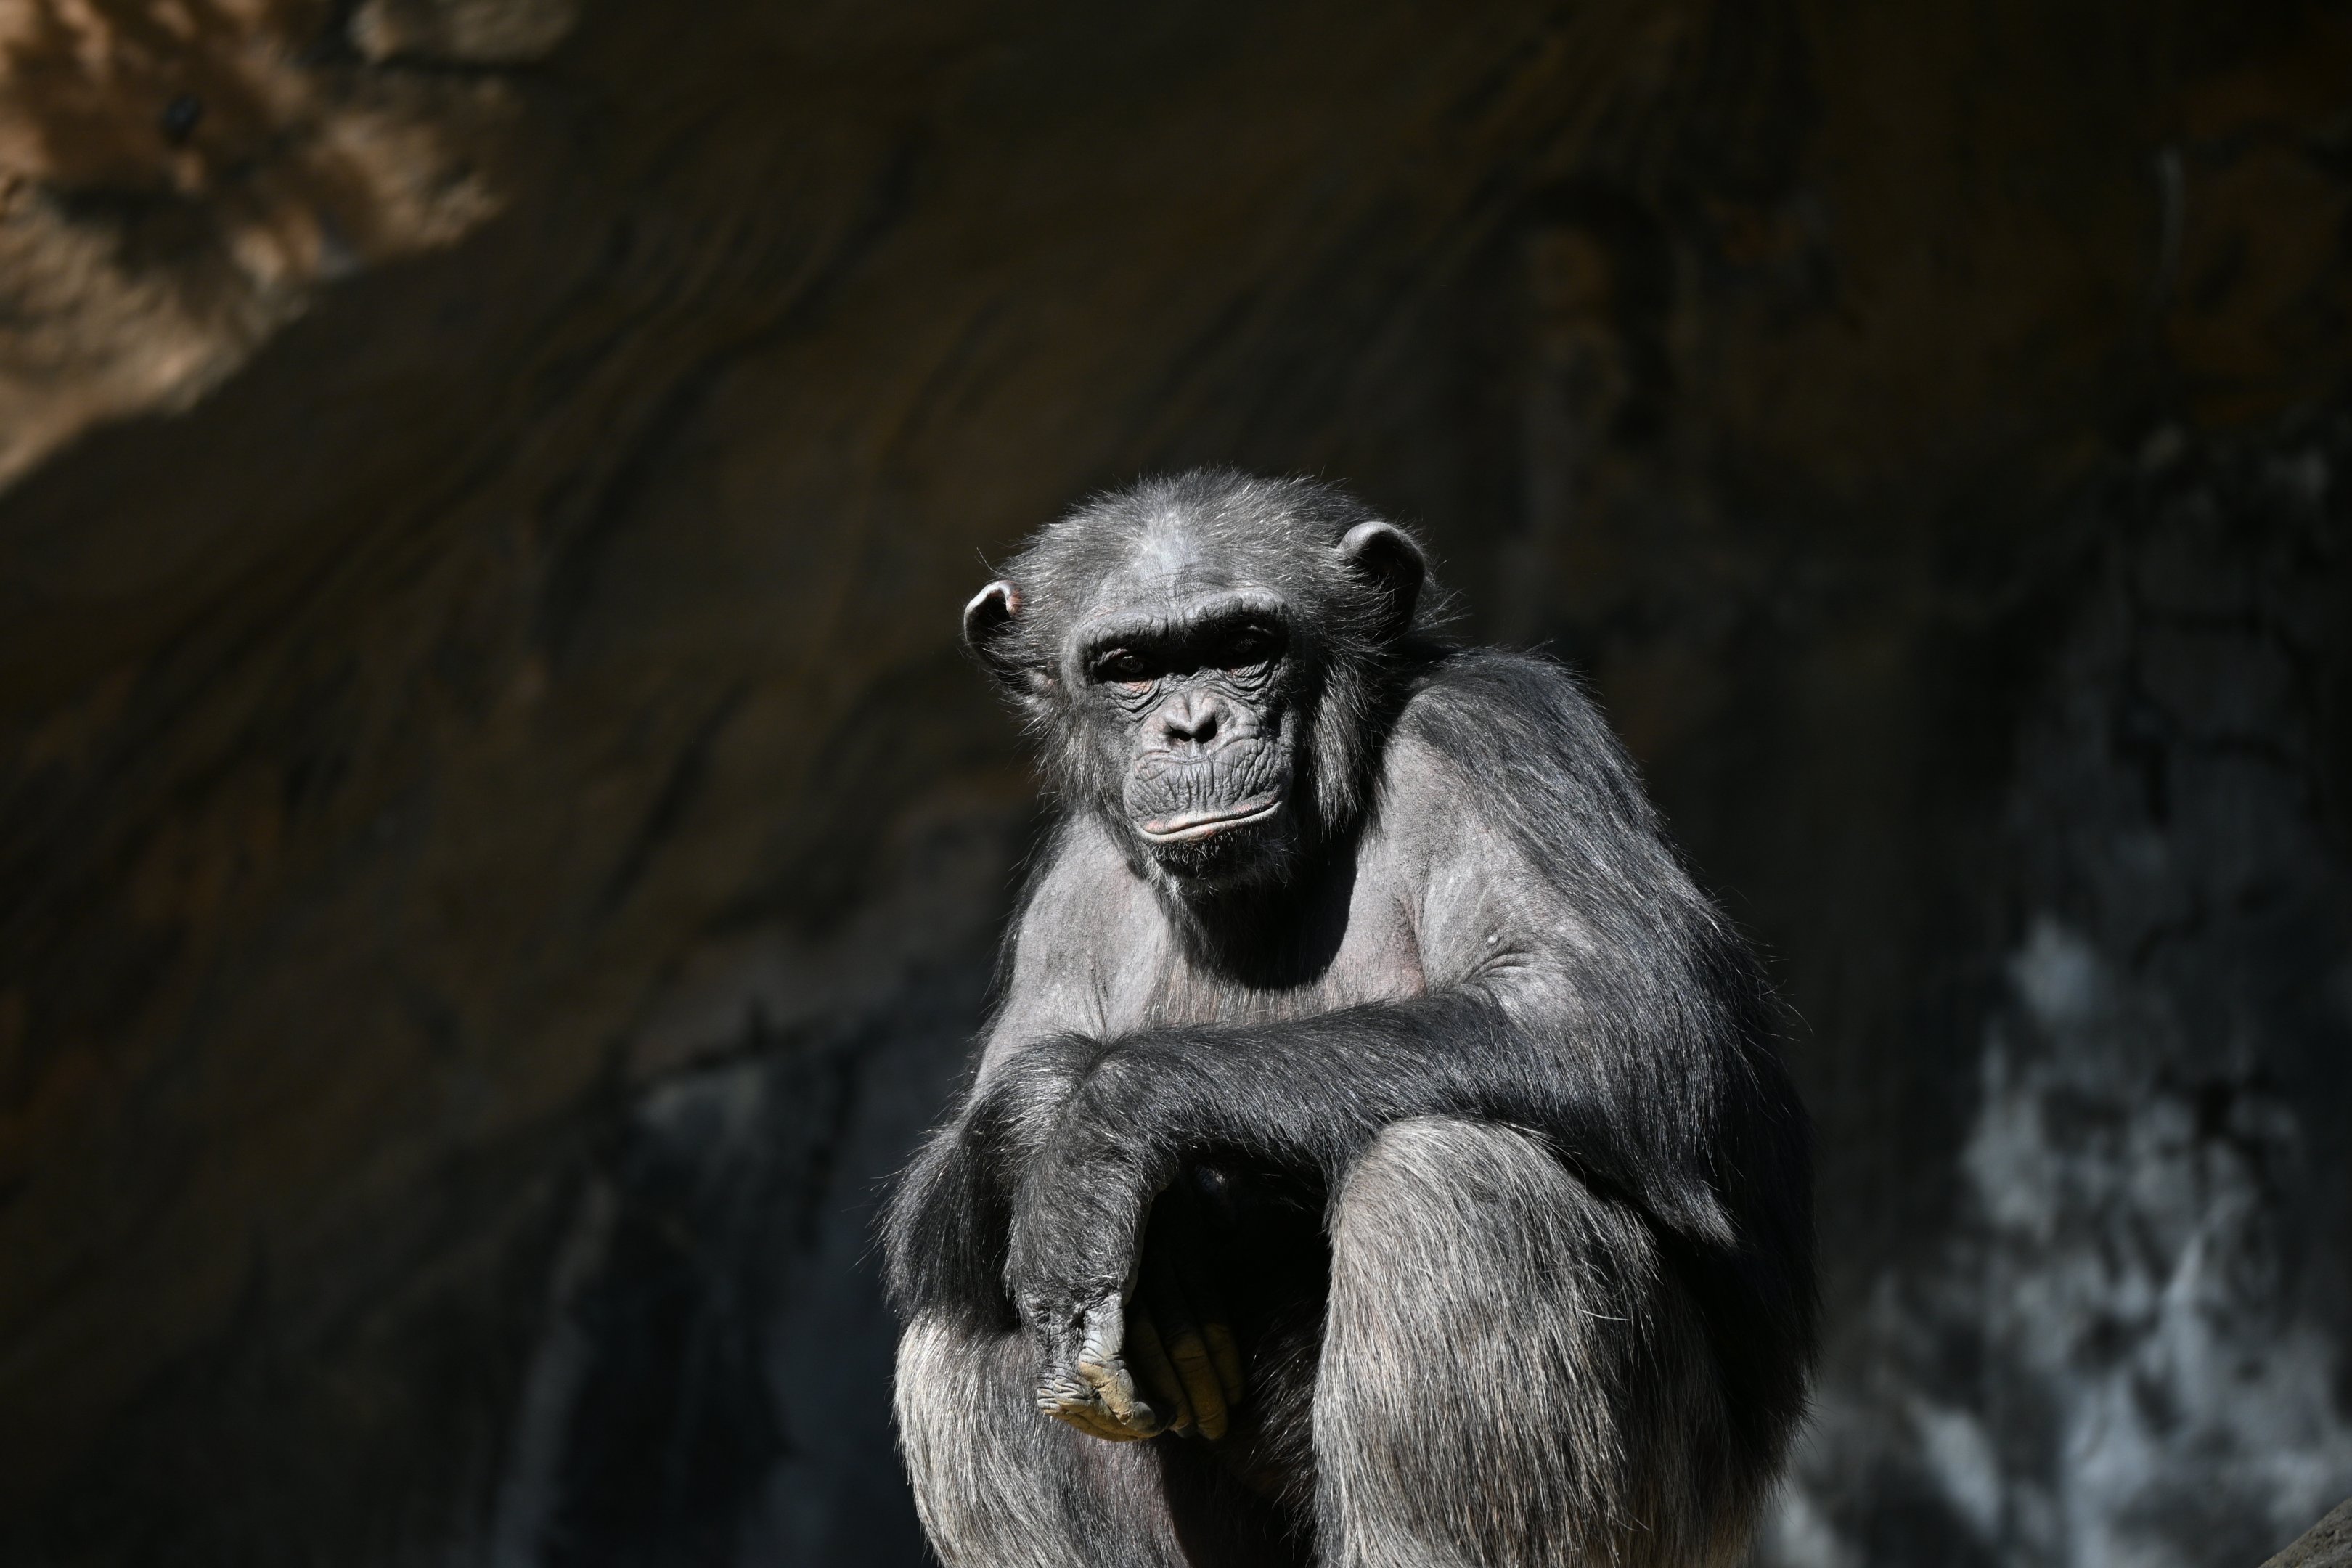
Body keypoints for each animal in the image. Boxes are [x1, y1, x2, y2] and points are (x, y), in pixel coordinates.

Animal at [882, 470, 1814, 1568]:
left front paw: (1099, 1139)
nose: (1192, 725)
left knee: (1453, 1184)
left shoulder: (1496, 734)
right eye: (1128, 668)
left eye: (1245, 646)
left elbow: (1611, 1011)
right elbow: (972, 1151)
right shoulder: (1070, 895)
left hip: (1672, 1523)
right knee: (965, 1302)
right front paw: (1047, 1123)